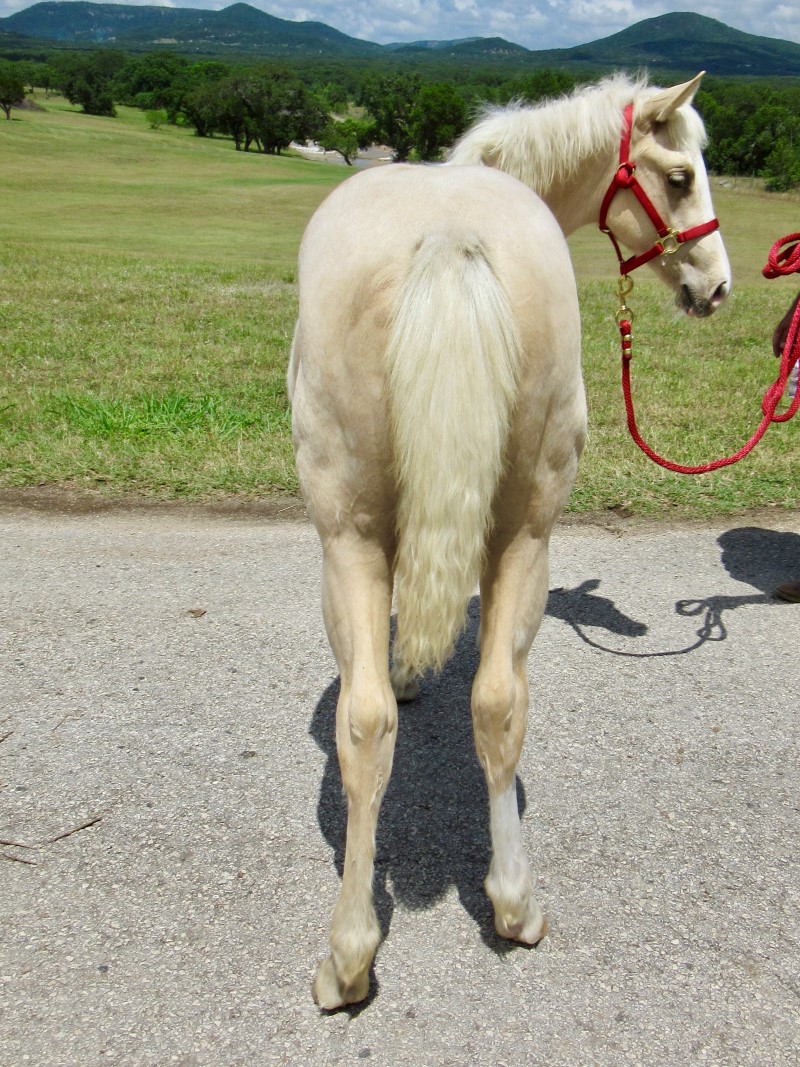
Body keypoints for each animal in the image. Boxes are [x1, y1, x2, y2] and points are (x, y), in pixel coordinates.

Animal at [290, 73, 733, 1007]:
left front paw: (411, 667)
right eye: (679, 176)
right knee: (489, 703)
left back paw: (355, 953)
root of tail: (451, 236)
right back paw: (505, 906)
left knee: (376, 718)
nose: (716, 286)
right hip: (518, 533)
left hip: (358, 537)